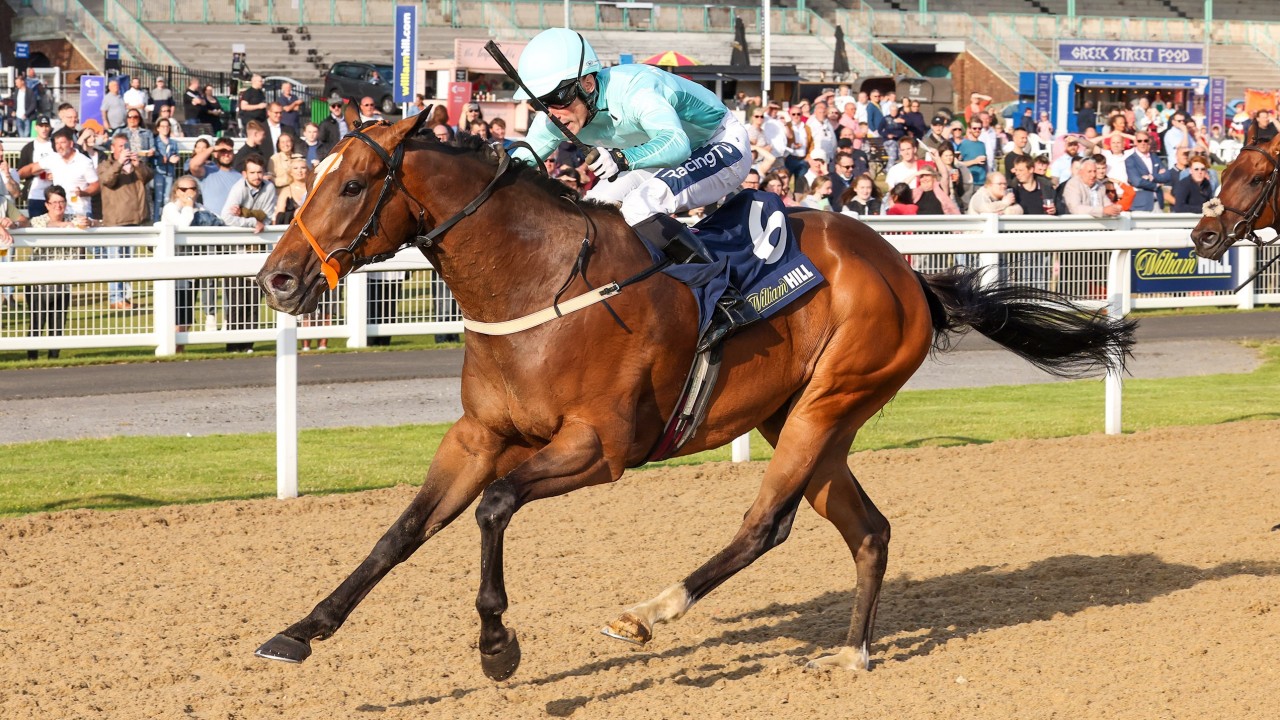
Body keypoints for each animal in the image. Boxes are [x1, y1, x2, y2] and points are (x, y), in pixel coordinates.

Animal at [253, 107, 1136, 679]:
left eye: (353, 184)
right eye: (313, 176)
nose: (278, 280)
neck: (537, 280)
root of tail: (907, 273)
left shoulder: (600, 447)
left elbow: (495, 507)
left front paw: (498, 644)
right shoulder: (476, 435)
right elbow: (400, 531)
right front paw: (300, 630)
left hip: (830, 401)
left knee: (765, 524)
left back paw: (650, 611)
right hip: (804, 418)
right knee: (869, 528)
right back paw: (853, 651)